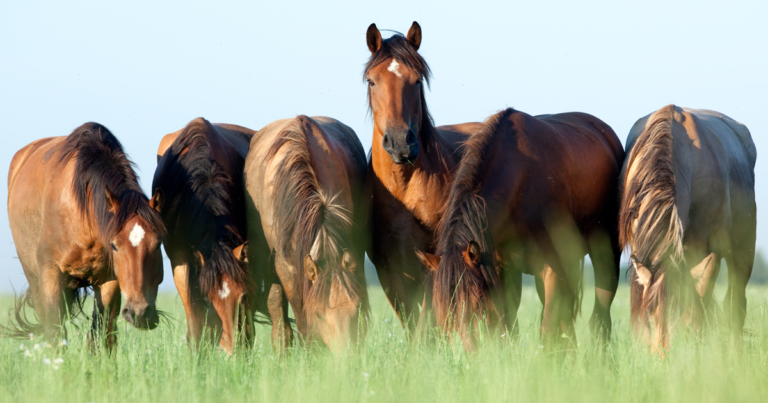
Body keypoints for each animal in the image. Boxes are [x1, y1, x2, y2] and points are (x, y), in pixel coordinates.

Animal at [5, 122, 165, 349]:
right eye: (115, 245)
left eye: (158, 243)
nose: (140, 312)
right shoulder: (51, 273)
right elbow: (54, 332)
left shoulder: (109, 281)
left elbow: (99, 334)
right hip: (34, 278)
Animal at [364, 22, 483, 331]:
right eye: (372, 81)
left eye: (417, 81)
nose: (400, 142)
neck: (404, 189)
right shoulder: (389, 270)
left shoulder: (432, 261)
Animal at [415, 108, 625, 350]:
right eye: (442, 308)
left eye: (477, 301)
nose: (467, 352)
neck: (520, 183)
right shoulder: (502, 270)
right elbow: (508, 326)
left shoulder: (552, 269)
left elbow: (548, 329)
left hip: (606, 256)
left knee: (600, 315)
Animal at [619, 105, 756, 353]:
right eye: (651, 316)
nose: (663, 357)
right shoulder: (640, 249)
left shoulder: (710, 254)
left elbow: (698, 306)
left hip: (743, 251)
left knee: (735, 305)